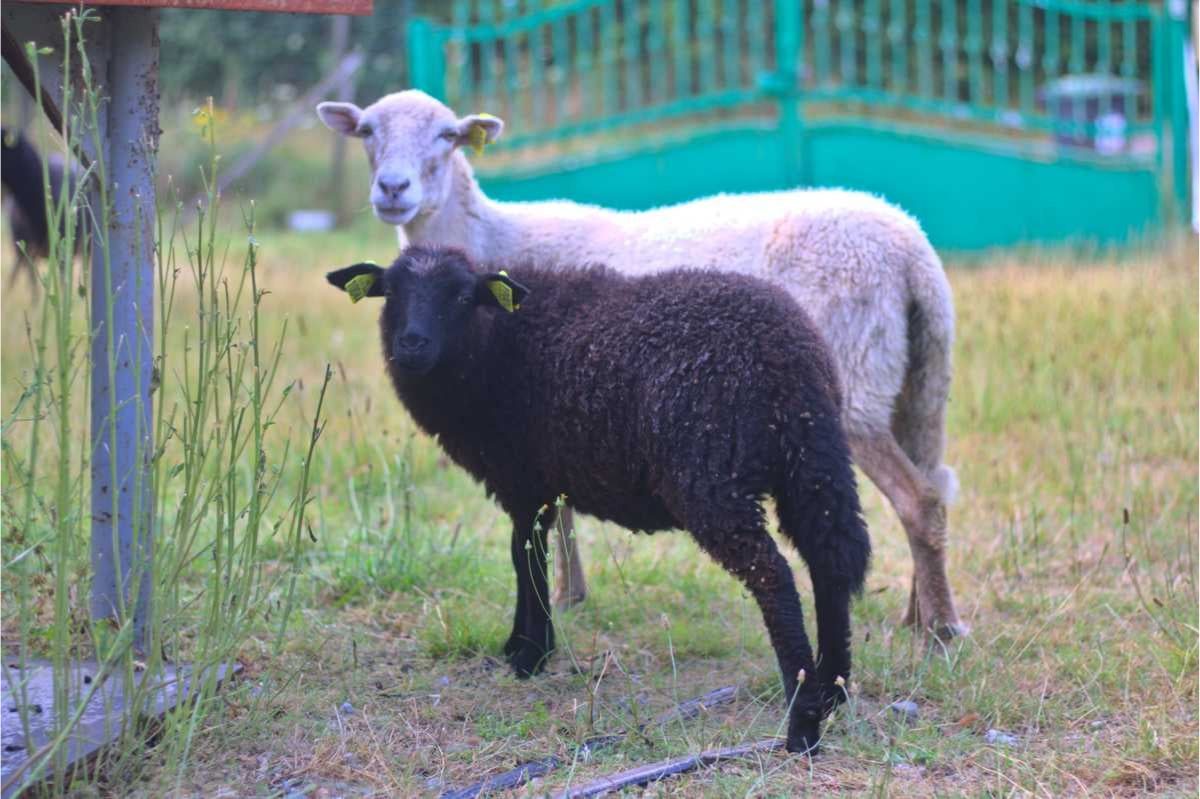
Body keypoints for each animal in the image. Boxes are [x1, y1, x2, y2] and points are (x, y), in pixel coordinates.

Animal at [316, 88, 964, 633]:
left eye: (448, 136)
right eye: (367, 130)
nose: (392, 190)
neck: (490, 241)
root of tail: (911, 248)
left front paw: (560, 598)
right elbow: (559, 500)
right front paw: (571, 595)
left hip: (853, 378)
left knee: (919, 500)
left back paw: (940, 630)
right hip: (916, 380)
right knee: (933, 484)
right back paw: (921, 611)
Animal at [328, 245, 873, 748]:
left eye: (462, 296)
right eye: (390, 293)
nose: (412, 344)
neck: (497, 343)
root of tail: (786, 358)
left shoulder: (523, 479)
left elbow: (524, 557)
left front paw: (529, 655)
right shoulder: (538, 486)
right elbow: (528, 557)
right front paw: (522, 645)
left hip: (712, 476)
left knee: (773, 577)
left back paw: (802, 723)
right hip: (812, 459)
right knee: (829, 561)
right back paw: (832, 689)